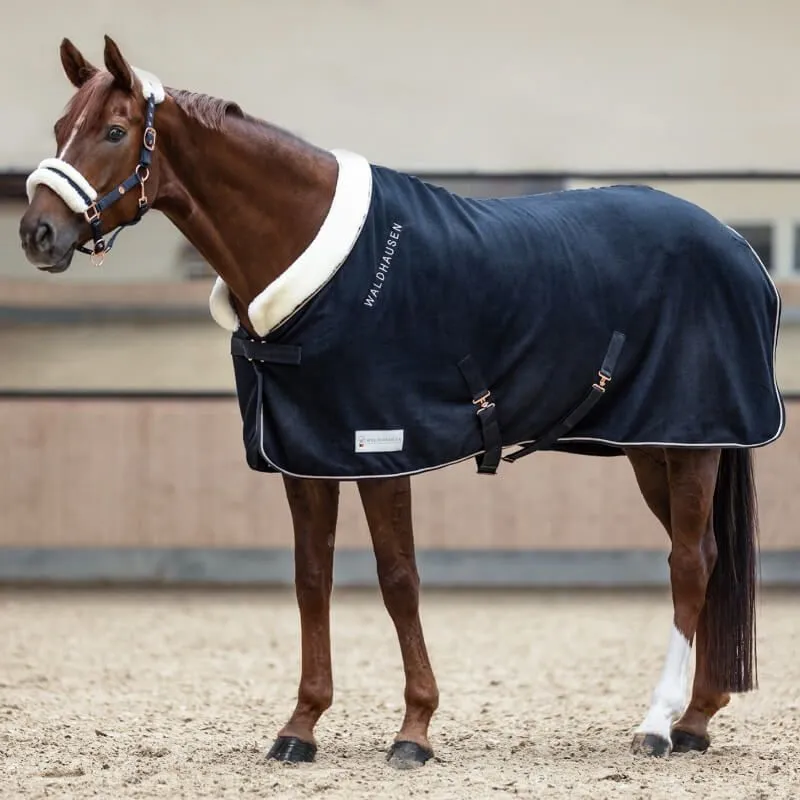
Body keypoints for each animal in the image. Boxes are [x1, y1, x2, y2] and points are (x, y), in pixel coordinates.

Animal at [19, 35, 785, 770]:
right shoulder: (308, 456)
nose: (37, 234)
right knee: (705, 555)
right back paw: (695, 720)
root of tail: (736, 245)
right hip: (656, 447)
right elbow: (311, 580)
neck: (323, 266)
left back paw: (657, 724)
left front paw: (414, 730)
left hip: (689, 441)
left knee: (688, 563)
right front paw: (300, 727)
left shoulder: (381, 448)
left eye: (115, 131)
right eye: (59, 126)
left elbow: (398, 580)